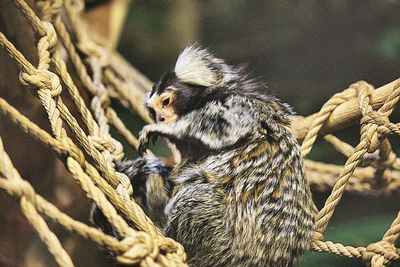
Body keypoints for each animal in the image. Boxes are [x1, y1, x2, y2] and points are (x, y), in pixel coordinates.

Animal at [91, 46, 316, 267]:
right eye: (153, 112)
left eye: (166, 102)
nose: (161, 118)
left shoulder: (239, 105)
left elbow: (229, 123)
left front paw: (169, 129)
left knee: (197, 193)